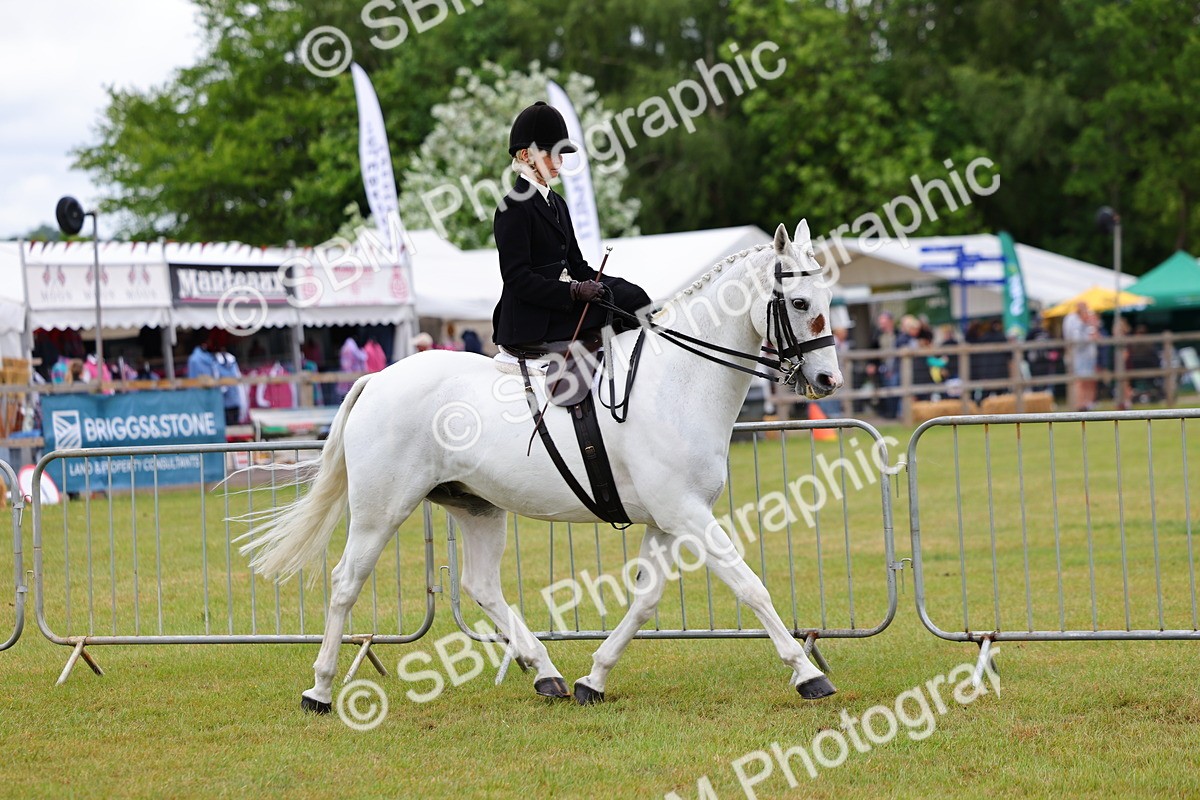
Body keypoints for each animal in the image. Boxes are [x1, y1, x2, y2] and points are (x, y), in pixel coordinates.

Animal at [240, 220, 845, 711]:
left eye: (829, 296)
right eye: (798, 303)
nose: (829, 381)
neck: (675, 381)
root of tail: (380, 378)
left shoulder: (669, 519)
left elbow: (645, 601)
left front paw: (593, 679)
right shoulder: (687, 514)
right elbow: (750, 587)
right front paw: (808, 675)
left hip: (476, 507)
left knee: (482, 586)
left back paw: (546, 673)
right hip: (379, 509)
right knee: (346, 582)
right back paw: (319, 689)